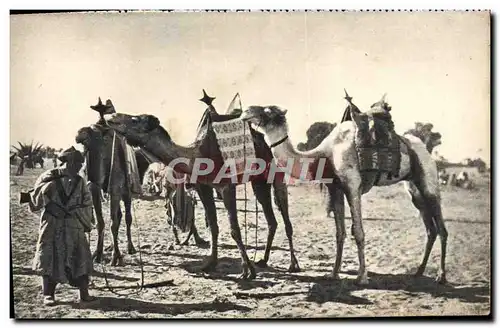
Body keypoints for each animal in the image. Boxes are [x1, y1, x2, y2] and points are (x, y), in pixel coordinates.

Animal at [239, 93, 450, 286]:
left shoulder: (352, 185)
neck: (325, 154)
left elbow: (358, 232)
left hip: (429, 181)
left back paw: (441, 276)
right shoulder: (336, 188)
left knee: (441, 227)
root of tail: (423, 148)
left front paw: (361, 277)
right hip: (414, 190)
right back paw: (419, 271)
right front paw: (333, 274)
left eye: (268, 110)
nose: (246, 111)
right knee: (430, 229)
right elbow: (339, 232)